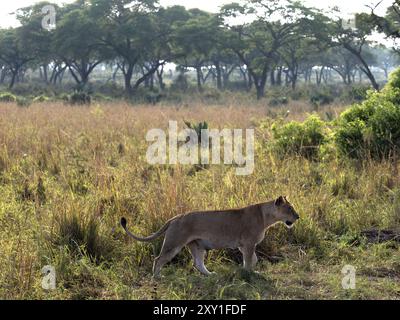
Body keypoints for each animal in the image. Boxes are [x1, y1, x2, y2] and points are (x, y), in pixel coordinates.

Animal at [120, 196, 298, 276]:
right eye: (290, 209)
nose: (298, 216)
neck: (266, 217)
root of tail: (175, 217)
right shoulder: (248, 243)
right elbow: (249, 260)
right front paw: (248, 274)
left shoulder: (244, 245)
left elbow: (253, 259)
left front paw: (249, 271)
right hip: (174, 243)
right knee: (158, 259)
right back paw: (157, 276)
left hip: (197, 245)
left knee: (198, 263)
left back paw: (210, 275)